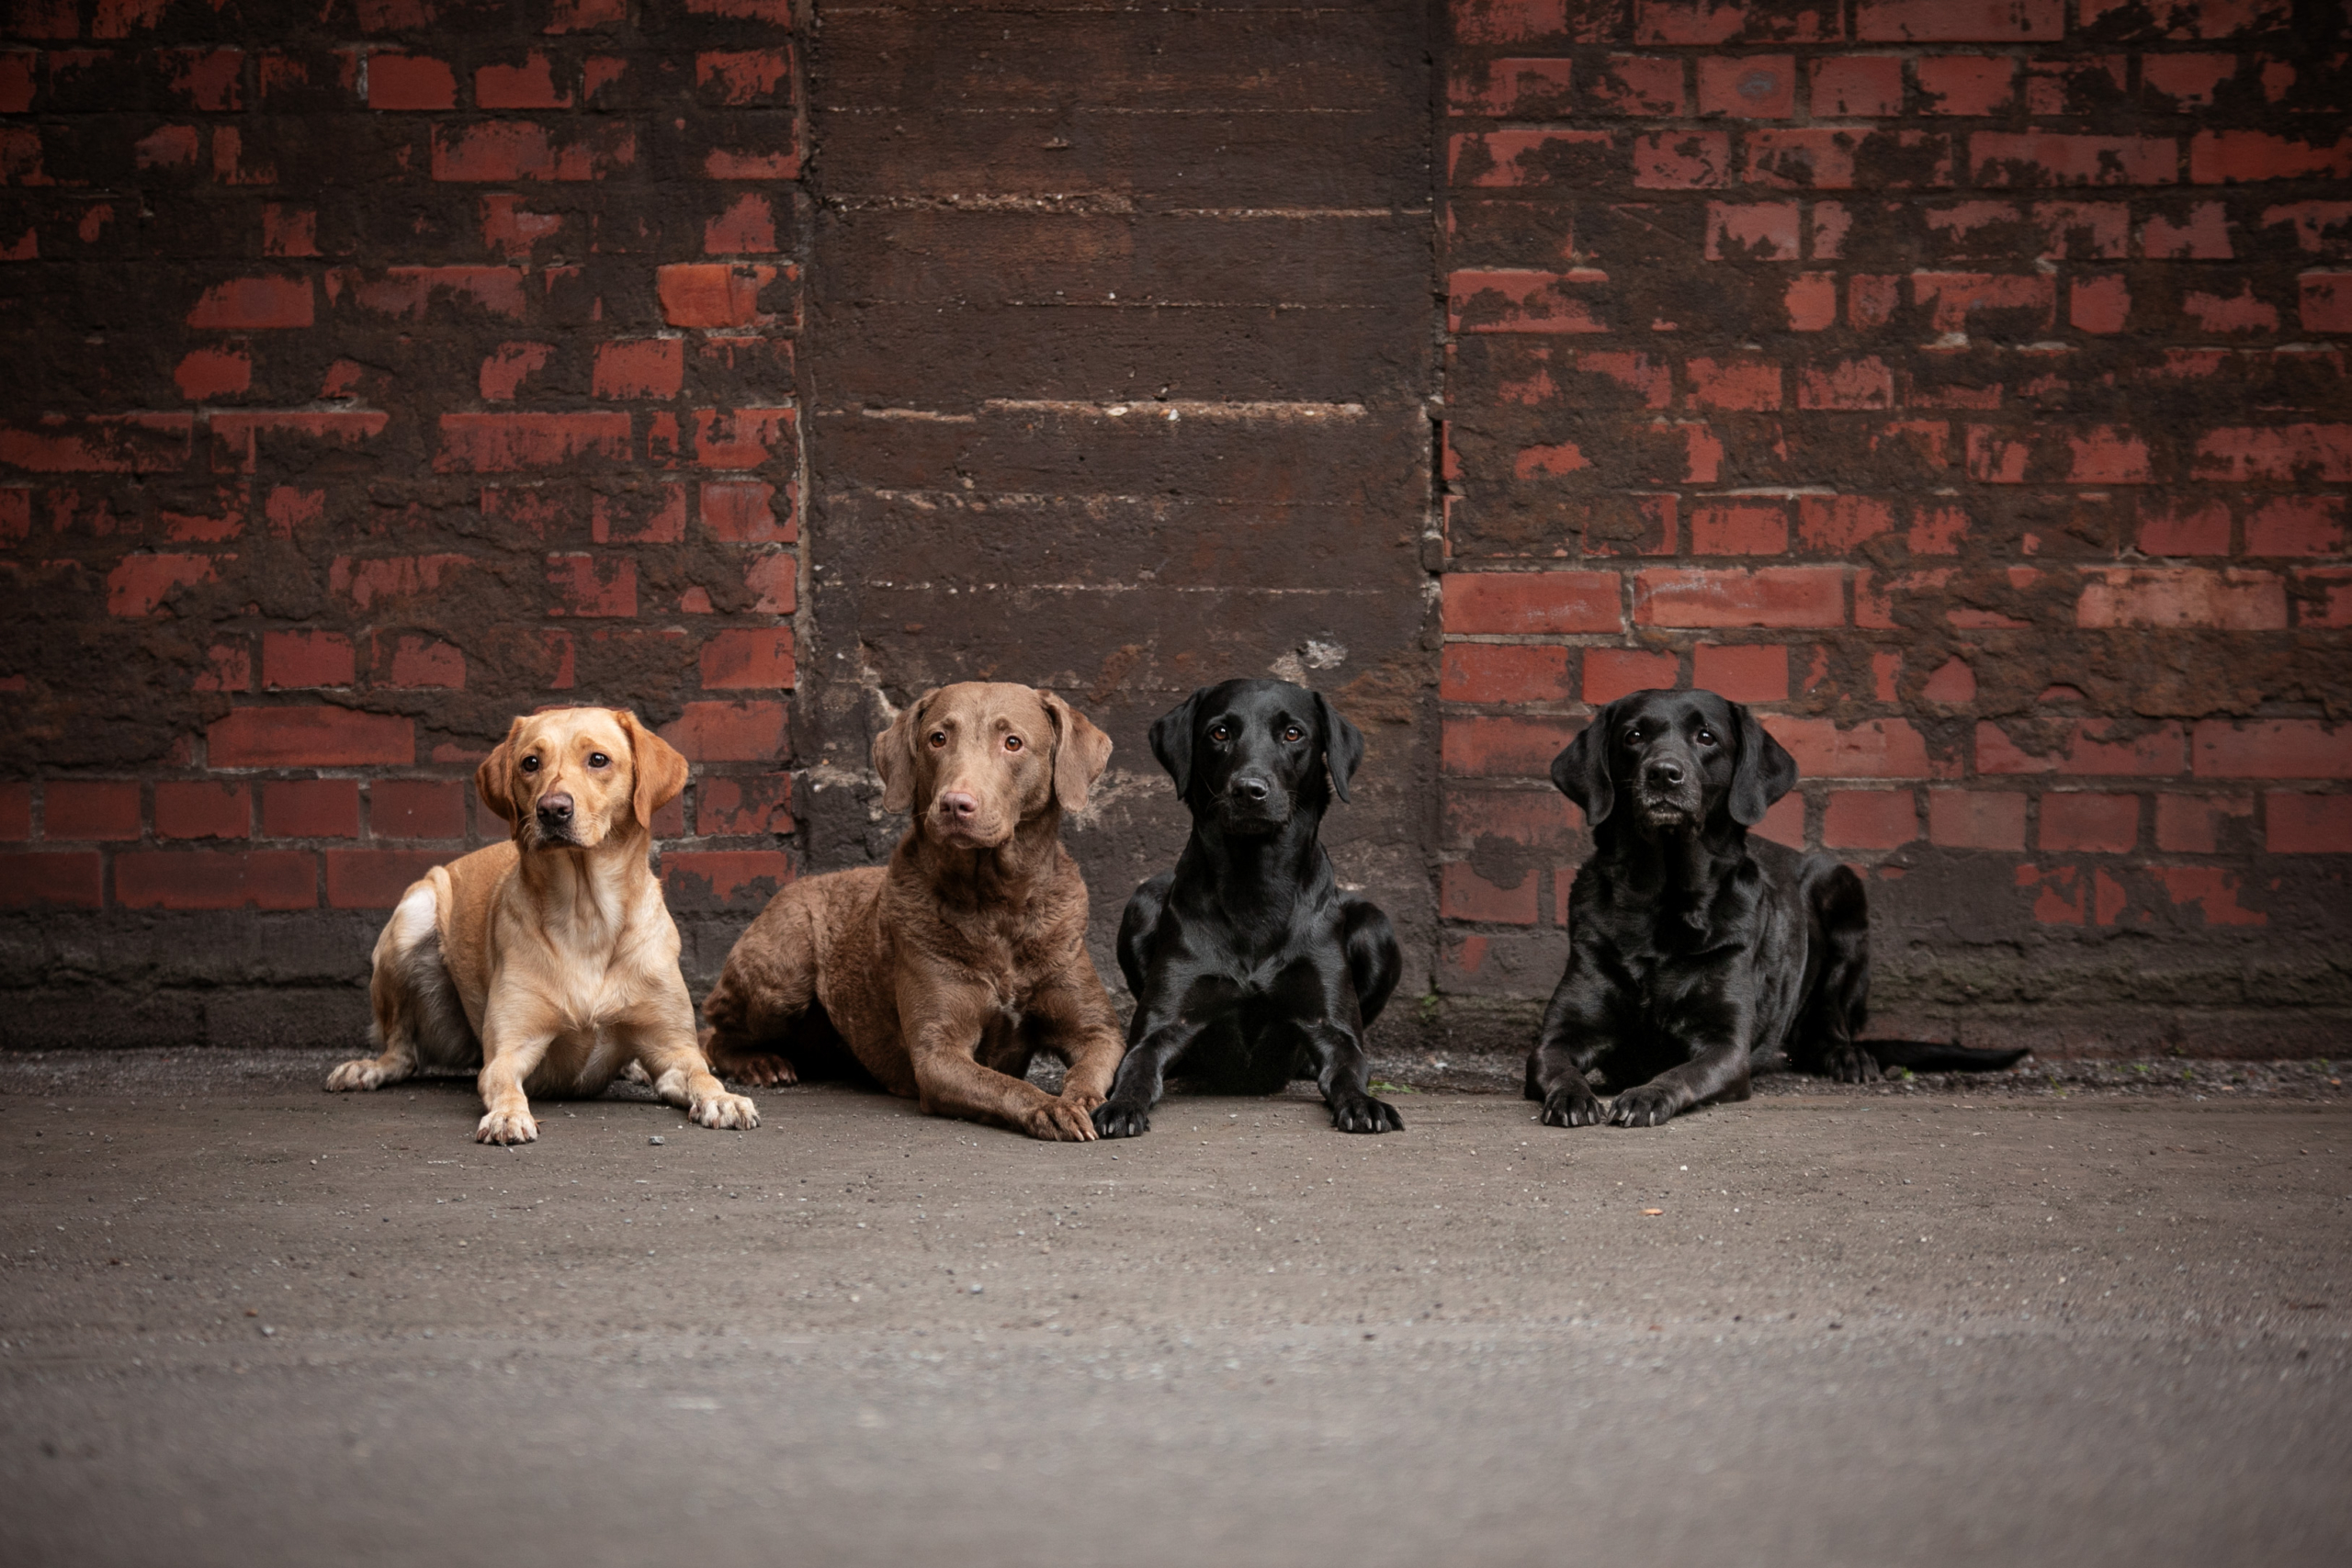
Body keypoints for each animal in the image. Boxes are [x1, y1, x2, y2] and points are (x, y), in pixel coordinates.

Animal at [1091, 682, 1401, 1133]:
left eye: (1293, 733)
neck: (1256, 887)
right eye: (1219, 732)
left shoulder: (1332, 1028)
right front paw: (1121, 1104)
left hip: (1375, 927)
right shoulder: (1163, 1026)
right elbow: (1137, 1066)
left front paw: (1363, 1102)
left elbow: (1348, 1067)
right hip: (1142, 904)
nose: (1249, 790)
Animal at [1523, 686, 2022, 1128]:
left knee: (1828, 1024)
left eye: (1706, 737)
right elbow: (1555, 1065)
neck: (1662, 902)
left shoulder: (1726, 1048)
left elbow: (1680, 1074)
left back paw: (1848, 1056)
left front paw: (1646, 1095)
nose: (1663, 773)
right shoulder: (1560, 1036)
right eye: (1633, 736)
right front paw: (1571, 1096)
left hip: (1842, 889)